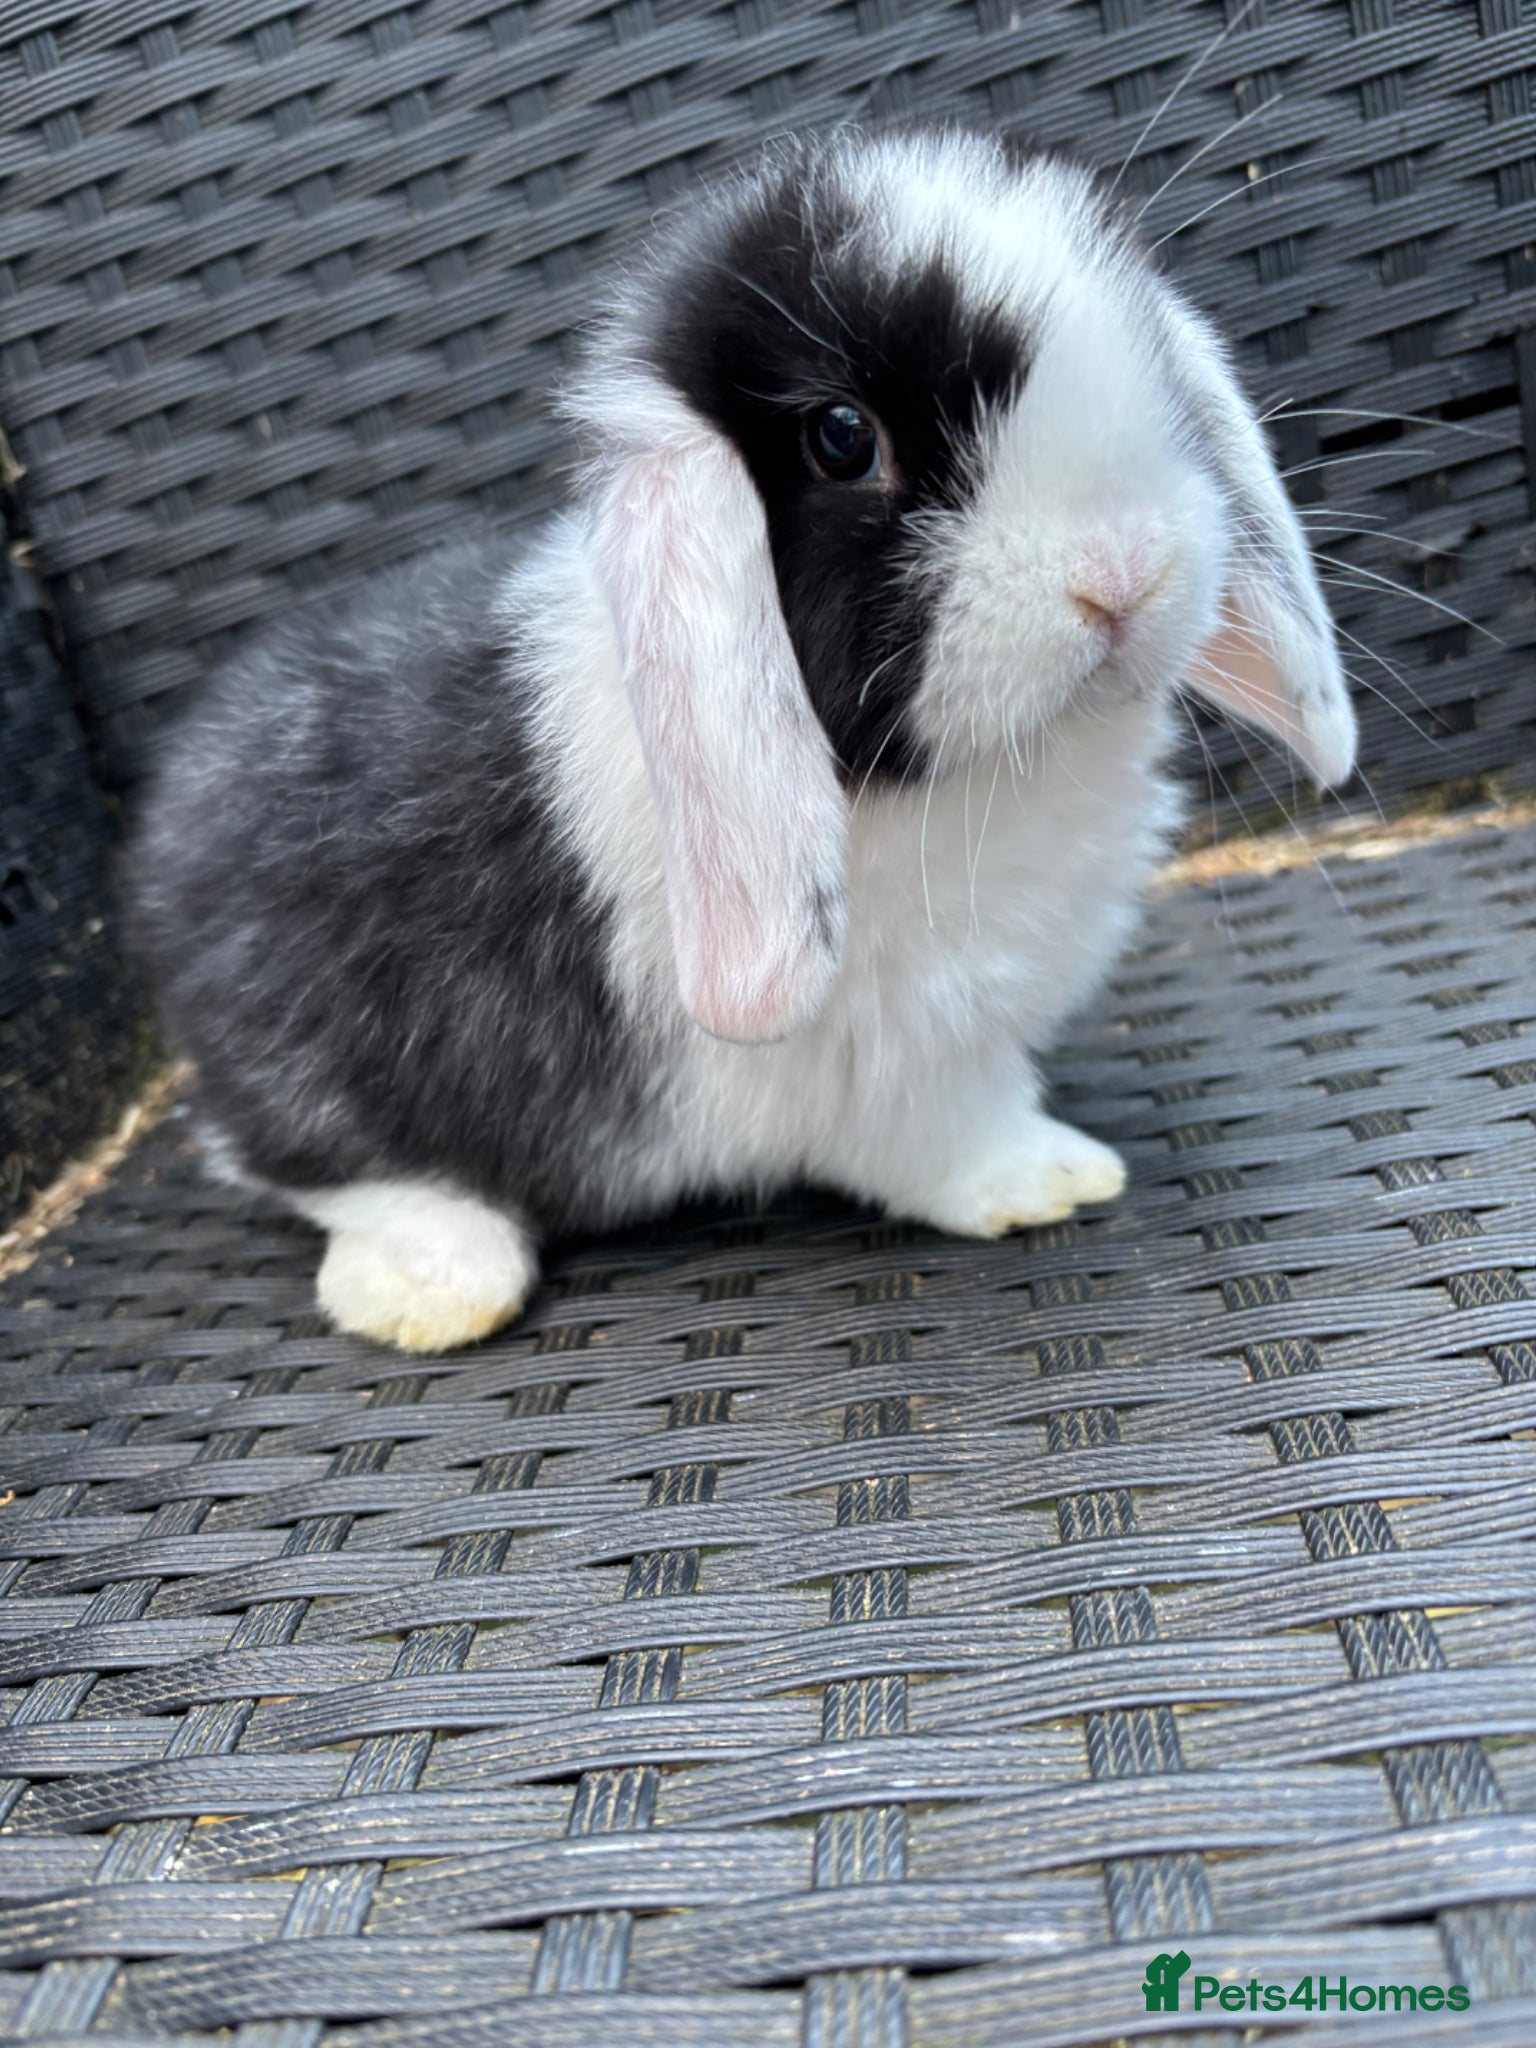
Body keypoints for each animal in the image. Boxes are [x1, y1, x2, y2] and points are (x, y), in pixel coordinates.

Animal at [131, 125, 1356, 1353]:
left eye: (1142, 350)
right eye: (844, 439)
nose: (1120, 576)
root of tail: (169, 836)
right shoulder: (899, 1064)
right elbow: (951, 1140)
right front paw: (1049, 1178)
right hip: (323, 1062)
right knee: (306, 1165)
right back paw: (435, 1286)